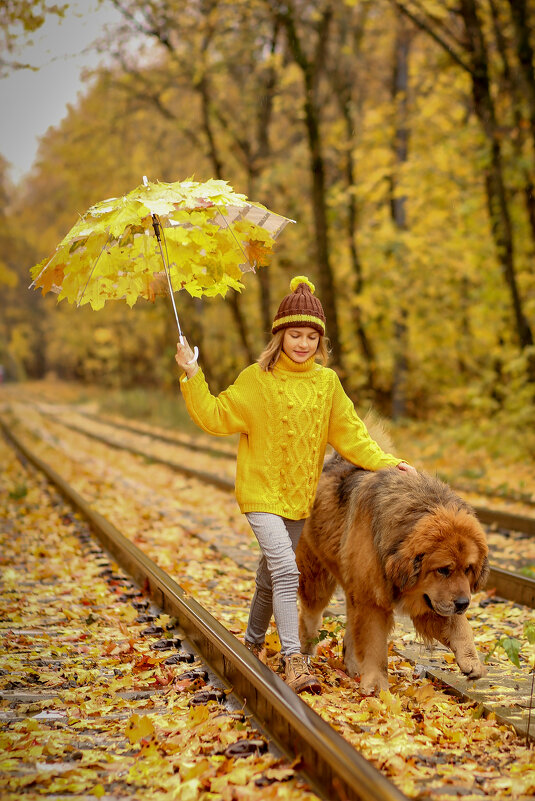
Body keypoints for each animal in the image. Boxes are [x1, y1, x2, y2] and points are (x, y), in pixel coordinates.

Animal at [298, 456, 490, 692]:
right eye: (443, 570)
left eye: (468, 569)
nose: (464, 604)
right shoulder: (373, 599)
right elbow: (374, 645)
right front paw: (377, 684)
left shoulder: (431, 600)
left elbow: (460, 626)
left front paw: (471, 660)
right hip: (317, 577)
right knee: (310, 615)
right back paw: (306, 654)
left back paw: (352, 666)